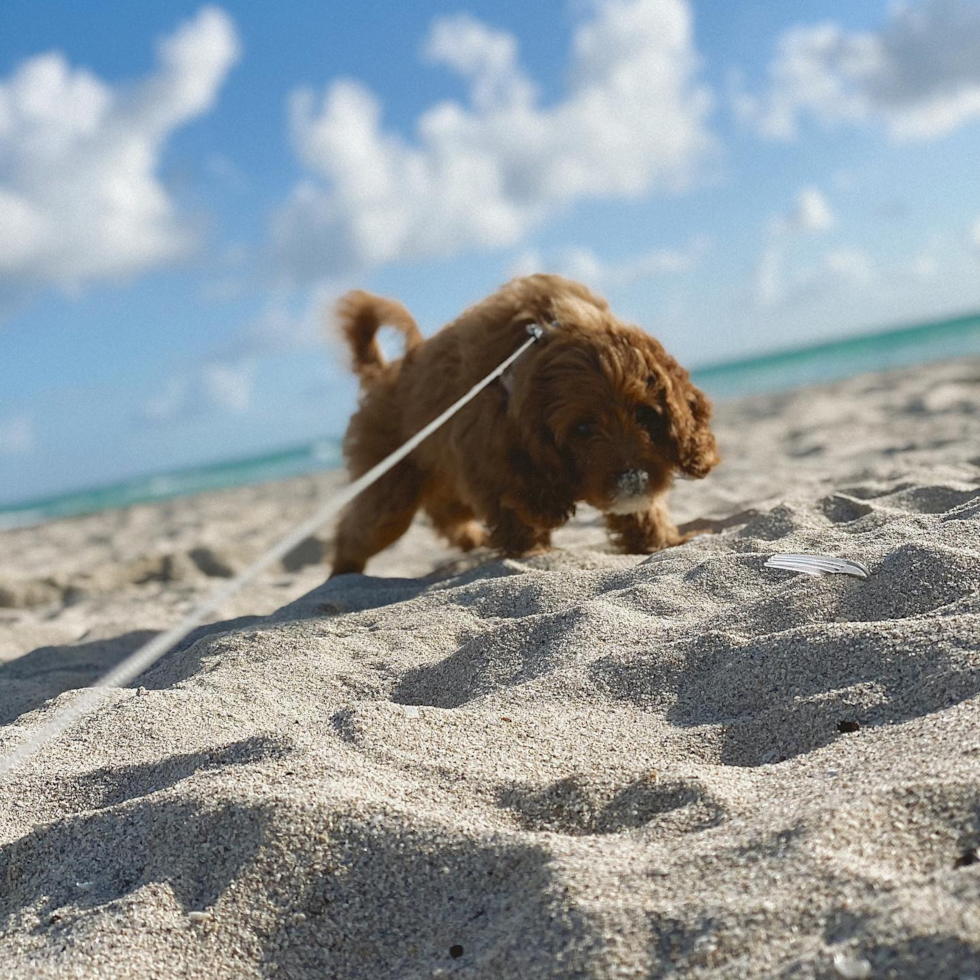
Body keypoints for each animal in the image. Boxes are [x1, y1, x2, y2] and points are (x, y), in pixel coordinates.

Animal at [332, 272, 720, 580]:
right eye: (581, 429)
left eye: (645, 415)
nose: (634, 481)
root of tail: (383, 373)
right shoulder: (498, 460)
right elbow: (517, 510)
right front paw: (533, 554)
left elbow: (643, 510)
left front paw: (663, 540)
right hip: (389, 496)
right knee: (357, 532)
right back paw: (342, 575)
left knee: (446, 514)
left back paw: (473, 539)